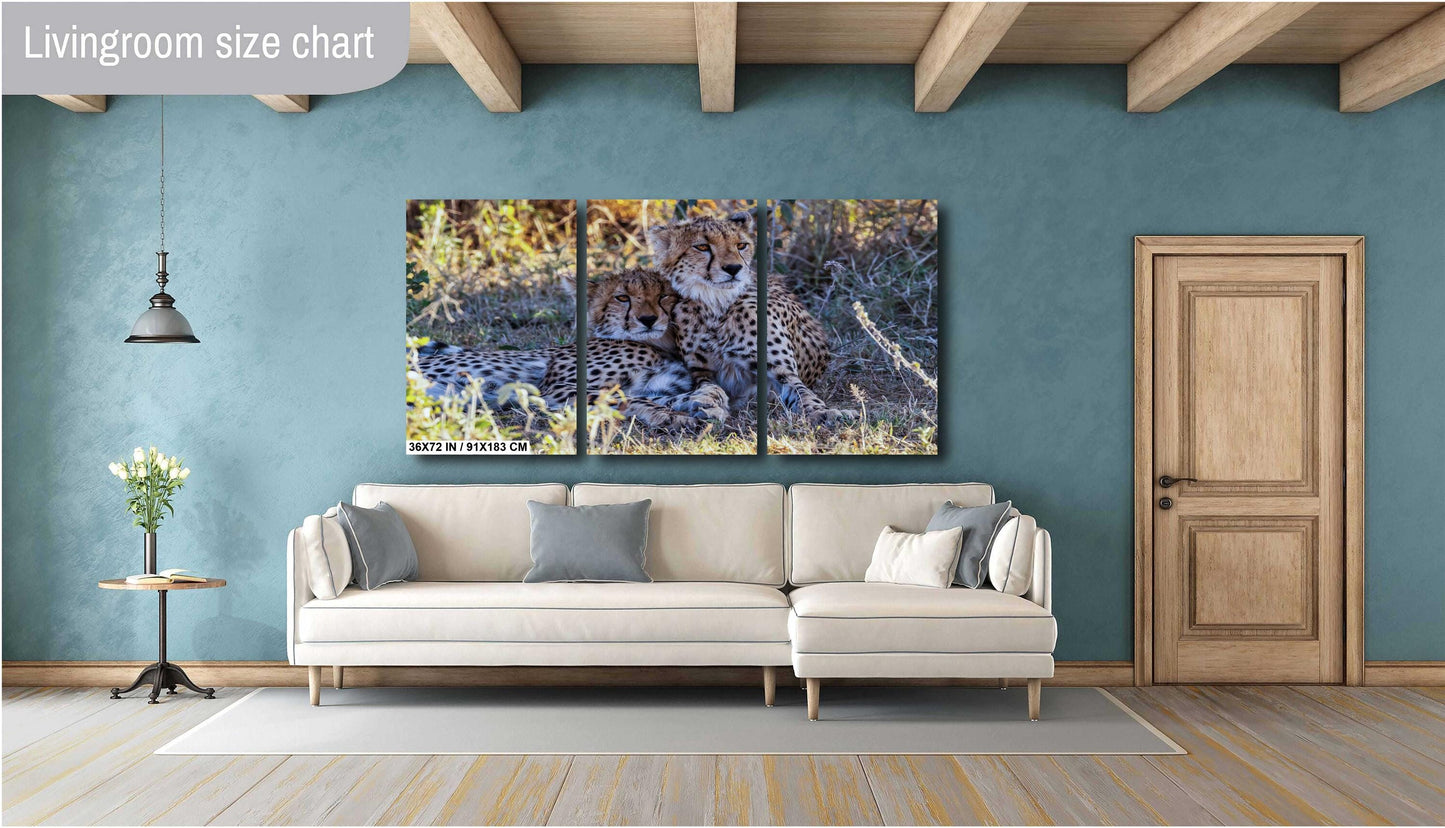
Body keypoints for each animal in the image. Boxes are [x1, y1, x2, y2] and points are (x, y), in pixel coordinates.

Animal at [414, 268, 727, 430]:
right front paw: (672, 415)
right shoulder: (554, 389)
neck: (657, 345)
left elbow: (681, 393)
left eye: (663, 296)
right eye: (622, 298)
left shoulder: (656, 385)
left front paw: (708, 402)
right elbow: (625, 398)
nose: (648, 319)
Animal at [647, 210, 851, 426]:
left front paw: (825, 412)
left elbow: (802, 392)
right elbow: (712, 388)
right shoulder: (702, 373)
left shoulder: (780, 371)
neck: (716, 304)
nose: (733, 268)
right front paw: (707, 403)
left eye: (741, 245)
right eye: (702, 247)